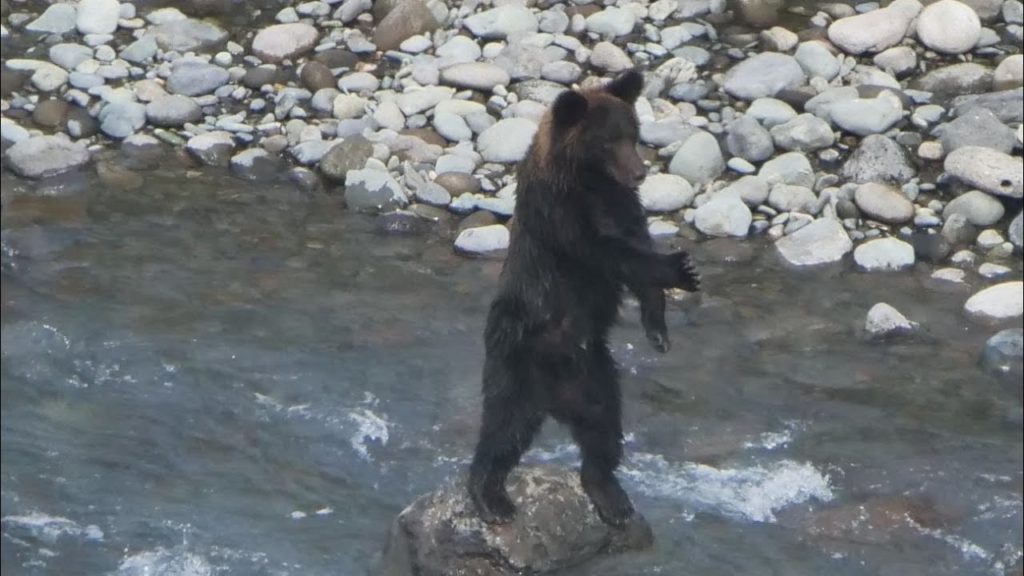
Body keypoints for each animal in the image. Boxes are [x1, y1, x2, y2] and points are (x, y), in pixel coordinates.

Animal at [467, 68, 702, 527]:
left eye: (634, 133)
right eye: (608, 141)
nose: (640, 172)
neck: (592, 182)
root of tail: (556, 399)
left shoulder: (623, 206)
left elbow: (635, 246)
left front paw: (658, 330)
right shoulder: (560, 212)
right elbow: (607, 253)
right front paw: (680, 269)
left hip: (596, 373)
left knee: (603, 431)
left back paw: (611, 495)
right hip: (517, 355)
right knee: (504, 427)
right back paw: (489, 495)